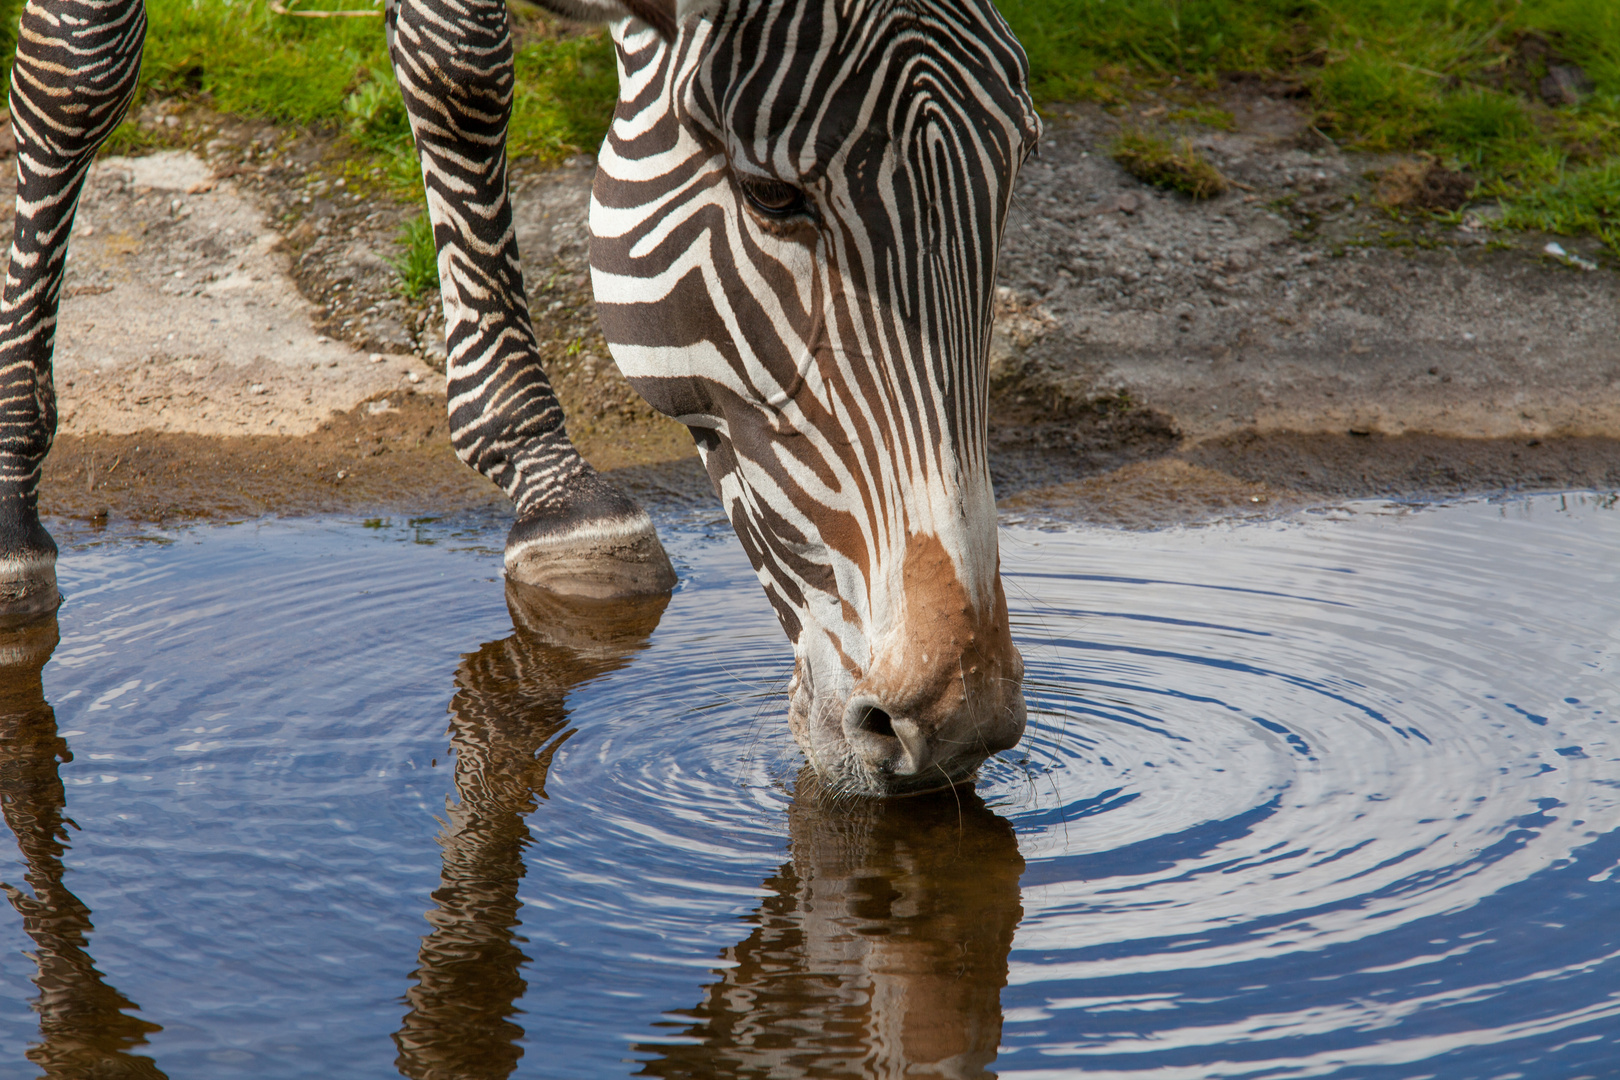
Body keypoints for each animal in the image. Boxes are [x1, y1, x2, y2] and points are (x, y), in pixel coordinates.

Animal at [0, 0, 1036, 799]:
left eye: (1019, 163)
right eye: (769, 194)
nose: (961, 723)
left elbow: (457, 57)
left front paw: (544, 479)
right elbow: (77, 68)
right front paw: (10, 495)